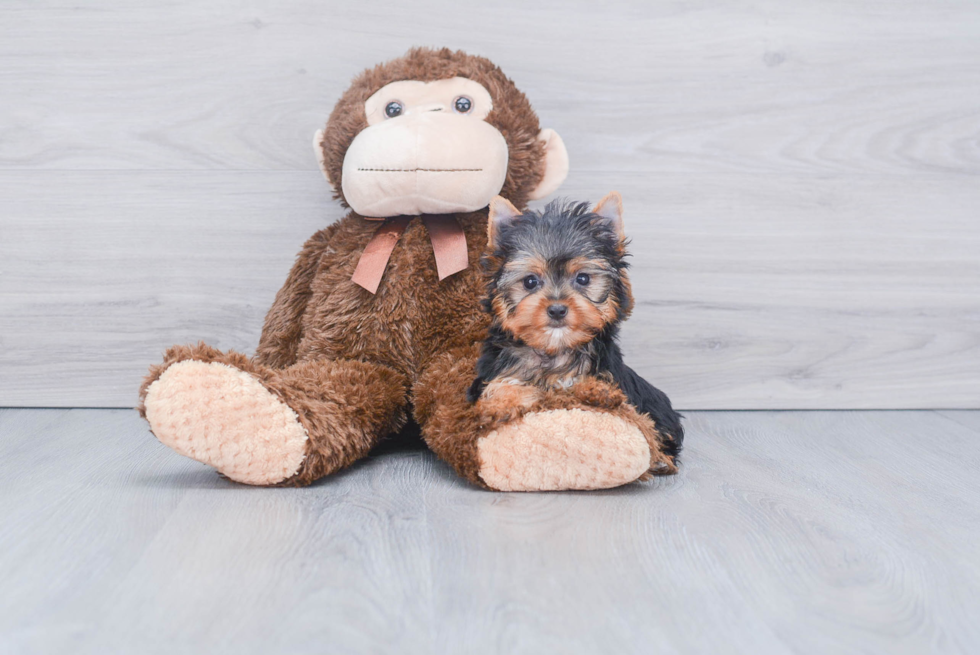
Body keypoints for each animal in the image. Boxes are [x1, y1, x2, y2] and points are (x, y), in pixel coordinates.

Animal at [468, 192, 684, 458]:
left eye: (583, 279)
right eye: (530, 282)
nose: (557, 309)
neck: (555, 349)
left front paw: (597, 392)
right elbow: (502, 385)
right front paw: (502, 402)